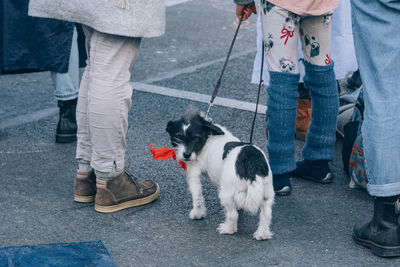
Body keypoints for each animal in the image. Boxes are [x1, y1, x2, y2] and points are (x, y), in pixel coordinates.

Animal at [166, 108, 276, 241]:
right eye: (177, 138)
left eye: (196, 138)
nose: (186, 154)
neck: (208, 136)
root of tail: (251, 159)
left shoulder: (193, 172)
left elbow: (197, 196)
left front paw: (197, 214)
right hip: (267, 192)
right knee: (266, 213)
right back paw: (262, 234)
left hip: (226, 193)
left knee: (233, 214)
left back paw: (228, 229)